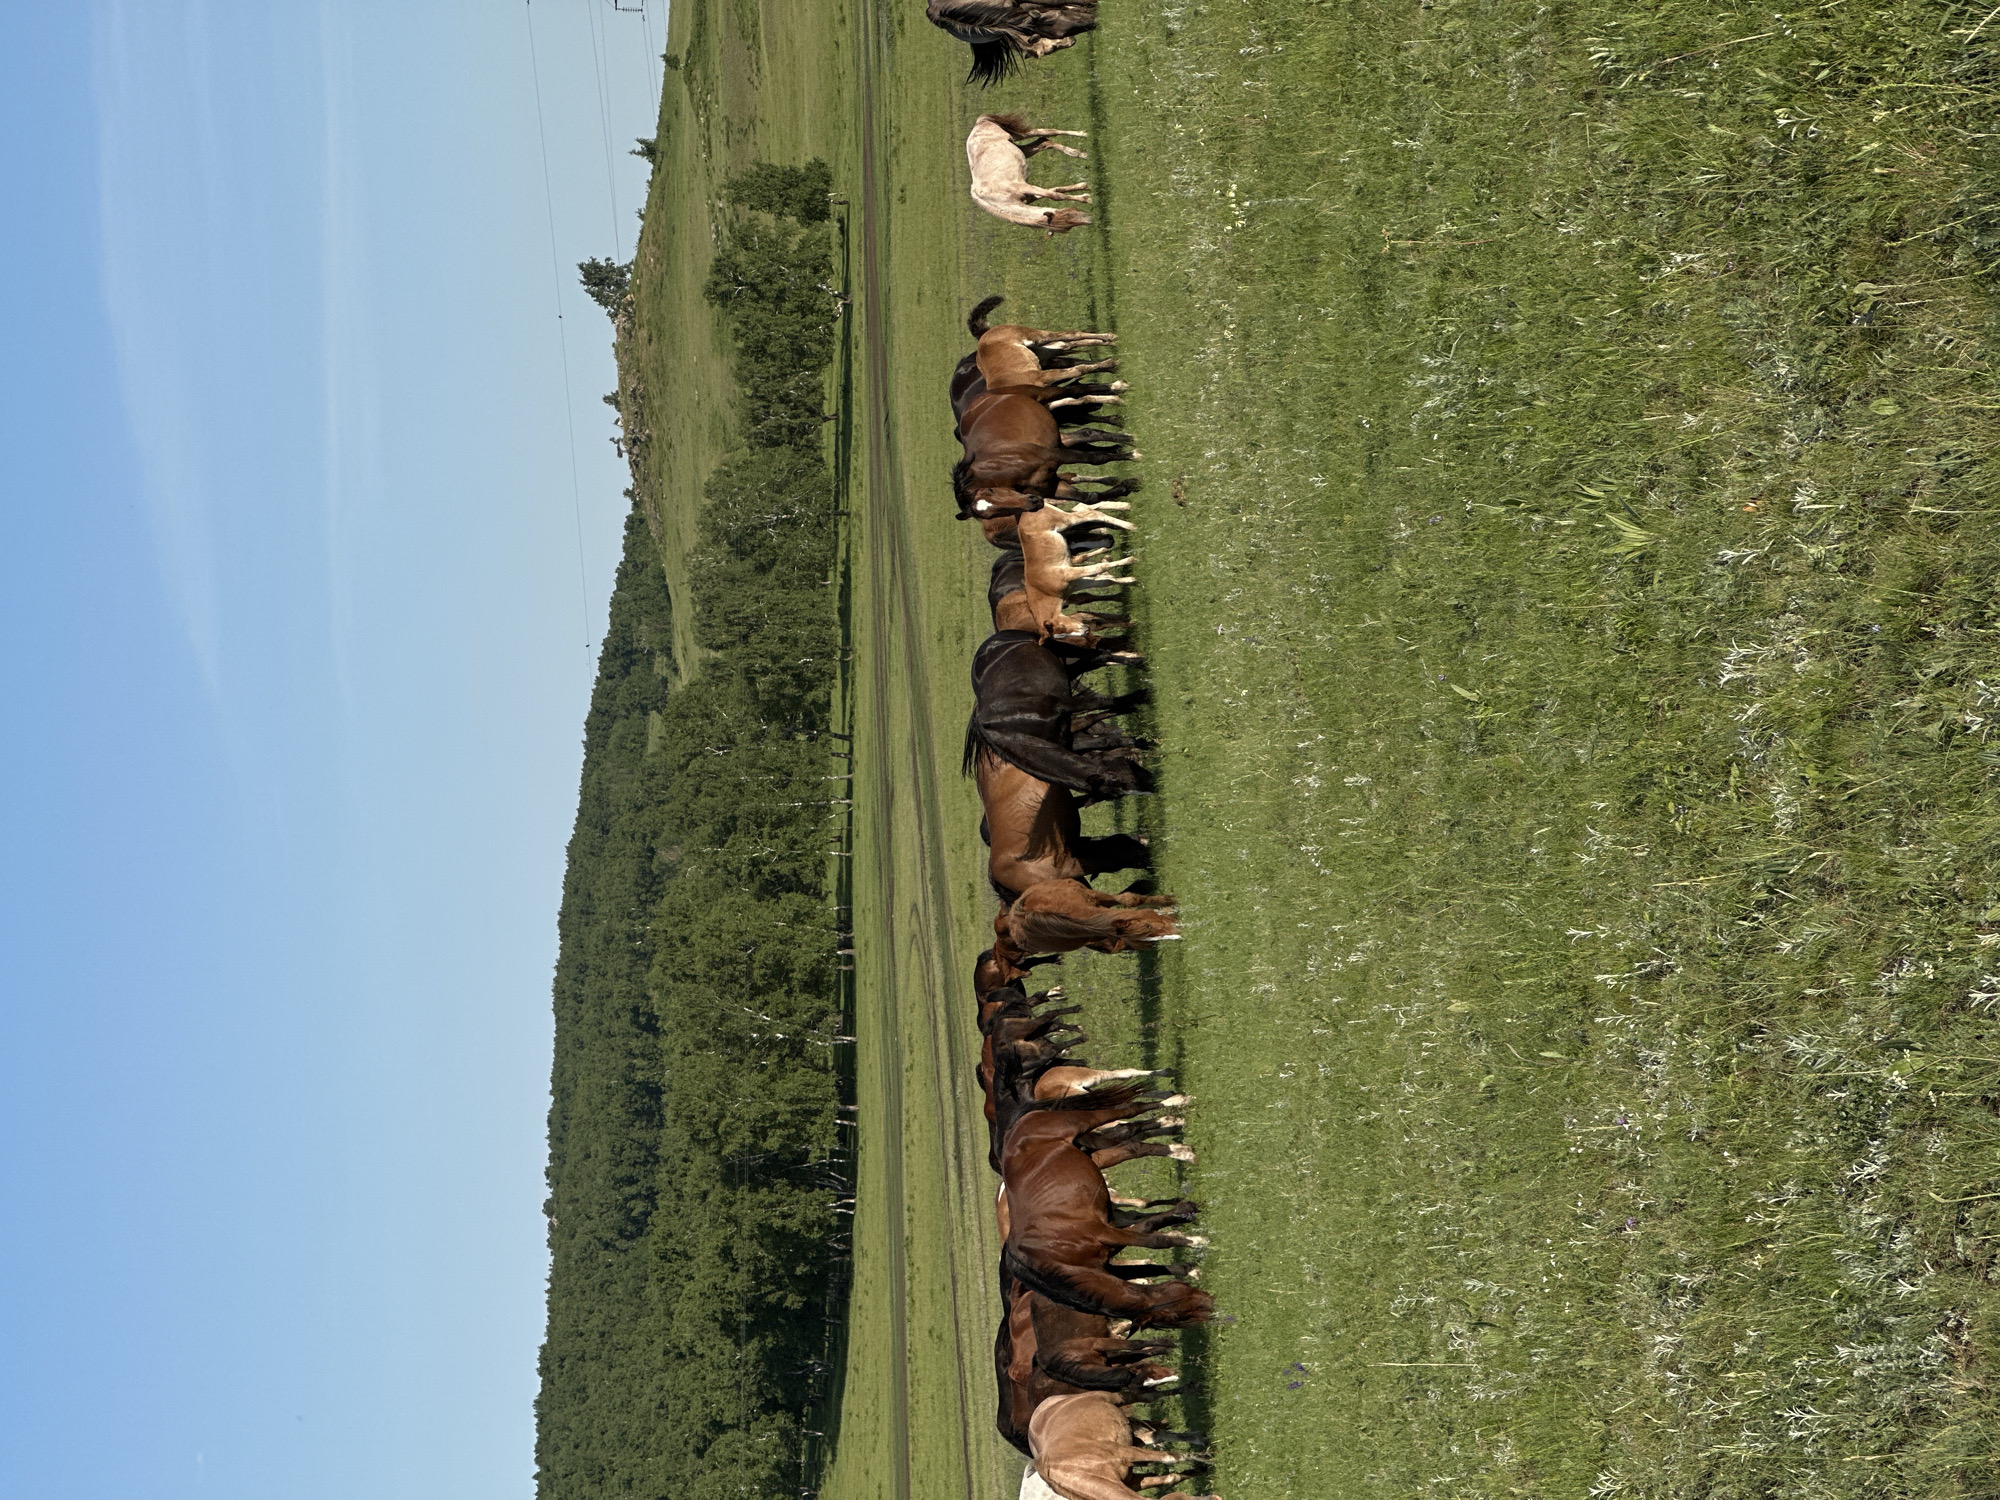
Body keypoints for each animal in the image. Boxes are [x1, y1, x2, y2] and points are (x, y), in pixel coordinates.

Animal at [967, 631, 1151, 800]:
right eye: (1116, 785)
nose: (1153, 785)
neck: (1012, 726)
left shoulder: (1063, 703)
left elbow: (1103, 702)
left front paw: (1142, 696)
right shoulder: (1069, 739)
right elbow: (1106, 739)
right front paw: (1143, 742)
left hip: (1057, 647)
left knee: (1100, 656)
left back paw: (1142, 664)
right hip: (1067, 670)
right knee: (1095, 660)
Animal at [999, 1085, 1213, 1327]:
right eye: (1176, 1317)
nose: (1212, 1305)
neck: (1052, 1257)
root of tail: (1016, 1127)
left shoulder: (1105, 1232)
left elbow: (1153, 1240)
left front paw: (1193, 1238)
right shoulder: (1108, 1255)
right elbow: (1149, 1242)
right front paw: (1189, 1255)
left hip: (1082, 1122)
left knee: (1129, 1111)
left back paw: (1176, 1105)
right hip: (1094, 1154)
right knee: (1131, 1142)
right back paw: (1177, 1144)